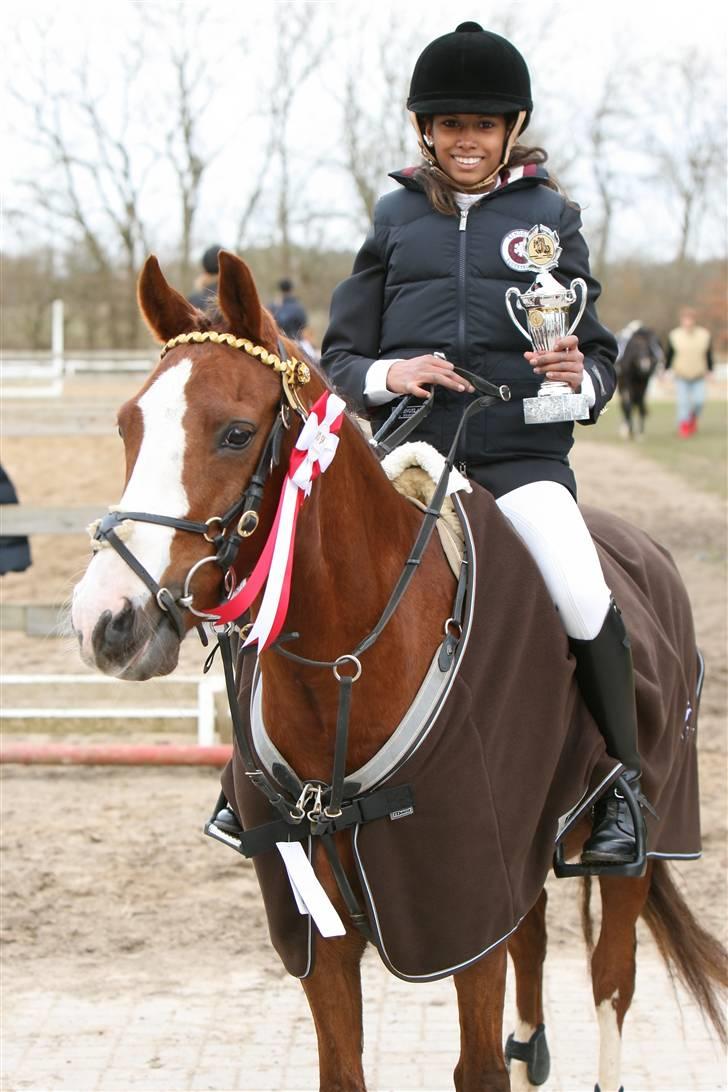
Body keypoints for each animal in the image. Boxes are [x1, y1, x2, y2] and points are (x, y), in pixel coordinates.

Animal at [71, 252, 726, 1092]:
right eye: (128, 425)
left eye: (235, 432)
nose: (105, 621)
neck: (343, 672)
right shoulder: (321, 931)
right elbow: (345, 1068)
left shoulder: (463, 910)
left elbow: (480, 1066)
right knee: (535, 945)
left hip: (636, 850)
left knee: (612, 984)